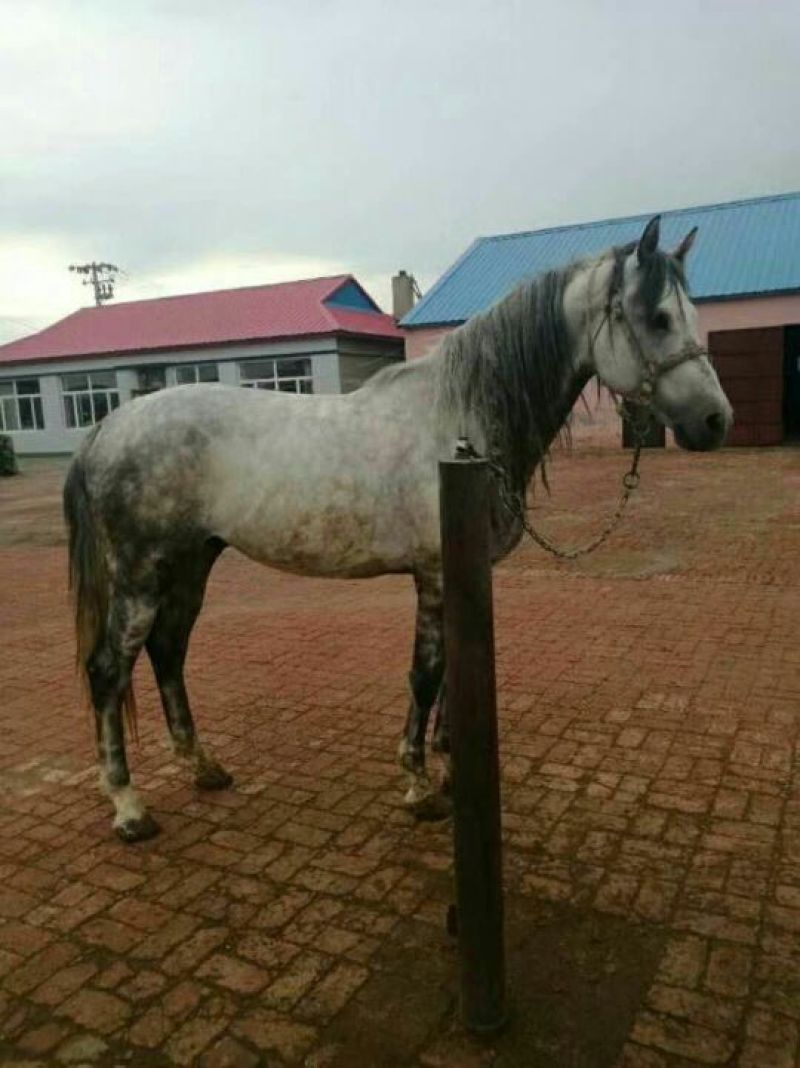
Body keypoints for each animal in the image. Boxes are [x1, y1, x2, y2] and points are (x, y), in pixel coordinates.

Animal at [64, 216, 732, 842]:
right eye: (656, 317)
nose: (715, 420)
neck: (460, 421)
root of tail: (107, 426)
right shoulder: (434, 574)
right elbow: (427, 674)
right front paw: (419, 785)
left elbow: (452, 677)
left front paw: (451, 768)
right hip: (142, 574)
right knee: (108, 669)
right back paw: (128, 806)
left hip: (193, 561)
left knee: (168, 651)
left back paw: (203, 768)